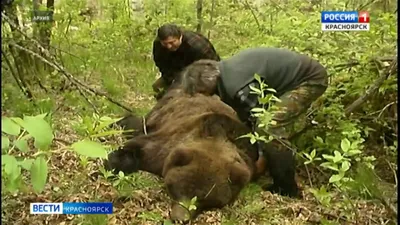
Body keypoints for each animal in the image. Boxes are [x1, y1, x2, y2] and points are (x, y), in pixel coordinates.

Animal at [104, 76, 298, 221]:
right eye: (180, 189)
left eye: (204, 200)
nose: (180, 218)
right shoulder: (164, 147)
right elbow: (135, 148)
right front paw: (112, 165)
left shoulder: (248, 161)